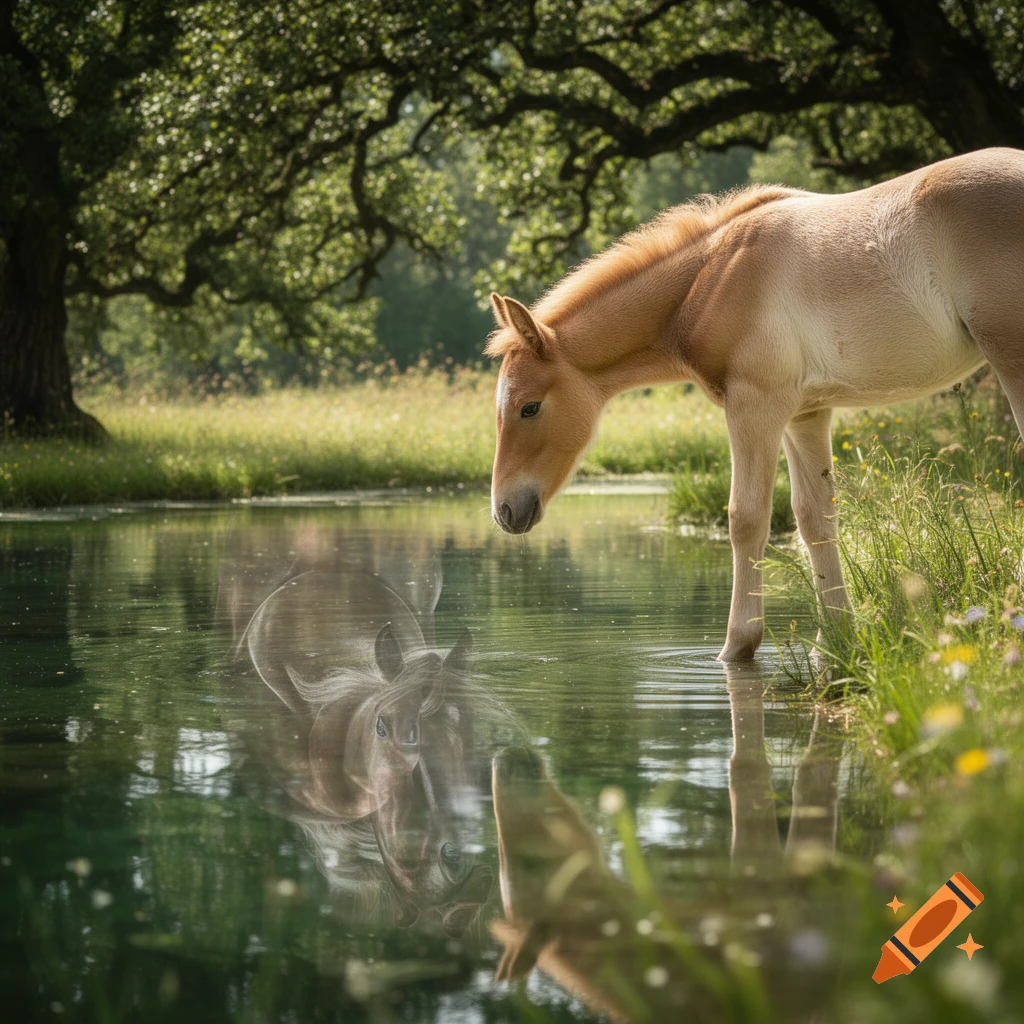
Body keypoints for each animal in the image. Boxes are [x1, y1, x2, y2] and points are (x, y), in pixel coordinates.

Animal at [485, 147, 1024, 660]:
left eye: (529, 407)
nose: (505, 510)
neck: (711, 276)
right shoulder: (806, 413)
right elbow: (815, 518)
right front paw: (837, 641)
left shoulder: (753, 405)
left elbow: (745, 518)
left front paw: (736, 647)